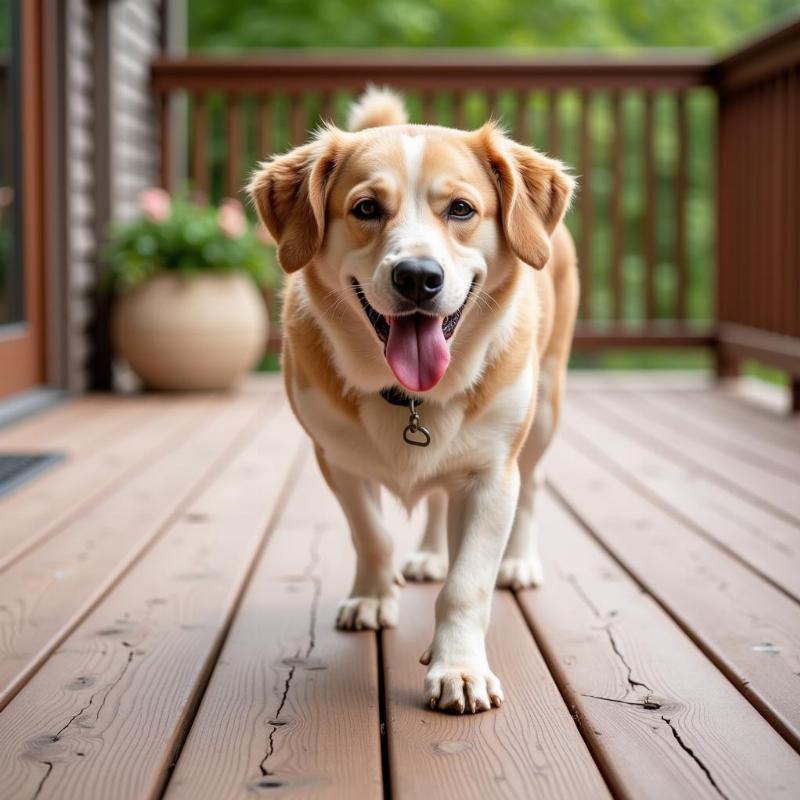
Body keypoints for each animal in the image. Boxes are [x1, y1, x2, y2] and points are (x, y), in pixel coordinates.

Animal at [248, 87, 576, 712]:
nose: (418, 276)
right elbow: (372, 535)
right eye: (366, 209)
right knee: (435, 502)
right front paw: (374, 598)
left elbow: (467, 583)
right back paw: (426, 554)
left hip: (546, 410)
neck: (410, 397)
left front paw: (459, 668)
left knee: (534, 485)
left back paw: (519, 561)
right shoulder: (337, 461)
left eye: (462, 210)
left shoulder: (492, 475)